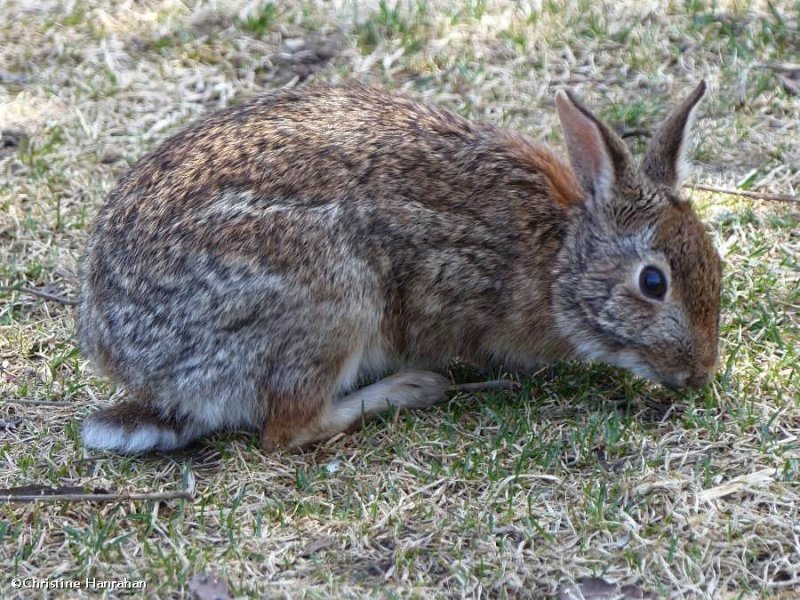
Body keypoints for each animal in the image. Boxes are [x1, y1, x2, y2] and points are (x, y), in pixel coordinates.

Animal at [78, 82, 720, 452]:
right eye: (653, 282)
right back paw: (414, 387)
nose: (701, 373)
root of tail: (145, 368)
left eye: (713, 261)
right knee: (288, 429)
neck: (559, 254)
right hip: (331, 300)